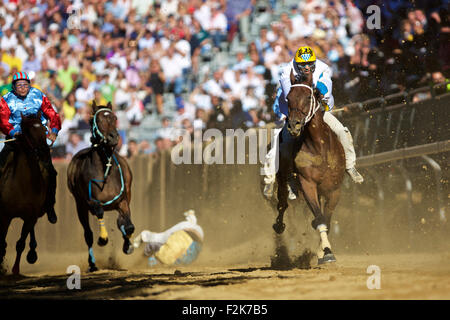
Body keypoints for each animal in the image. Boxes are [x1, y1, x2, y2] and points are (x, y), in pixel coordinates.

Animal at [0, 111, 52, 274]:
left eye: (43, 128)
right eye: (27, 130)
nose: (44, 151)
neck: (22, 184)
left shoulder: (31, 217)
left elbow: (20, 243)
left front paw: (15, 269)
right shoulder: (5, 216)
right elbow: (2, 243)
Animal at [67, 101, 134, 272]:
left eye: (115, 117)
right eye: (97, 120)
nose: (113, 137)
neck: (105, 170)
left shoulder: (123, 200)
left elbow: (128, 226)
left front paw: (128, 245)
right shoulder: (89, 200)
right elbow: (99, 212)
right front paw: (103, 238)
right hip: (79, 206)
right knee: (88, 234)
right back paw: (92, 263)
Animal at [272, 71, 346, 264]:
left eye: (308, 96)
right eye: (288, 98)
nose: (294, 125)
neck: (319, 147)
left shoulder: (335, 188)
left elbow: (326, 218)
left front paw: (322, 251)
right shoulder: (307, 184)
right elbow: (319, 217)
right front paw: (327, 251)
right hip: (282, 179)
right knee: (282, 204)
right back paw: (279, 225)